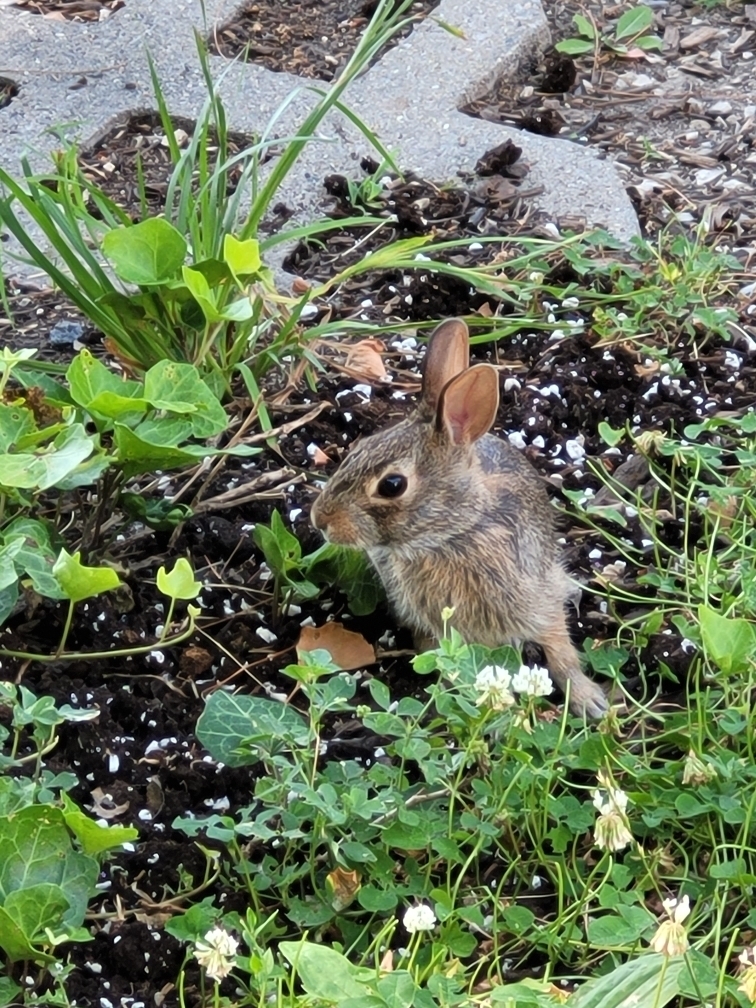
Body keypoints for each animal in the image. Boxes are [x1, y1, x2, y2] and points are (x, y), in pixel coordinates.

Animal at [310, 318, 608, 718]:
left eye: (392, 484)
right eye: (358, 449)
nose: (320, 520)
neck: (455, 534)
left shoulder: (540, 601)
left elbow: (561, 652)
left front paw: (590, 702)